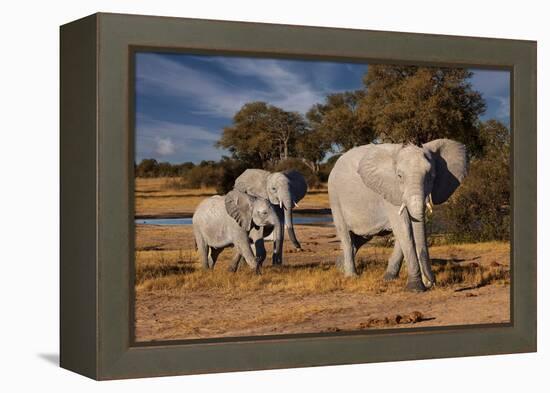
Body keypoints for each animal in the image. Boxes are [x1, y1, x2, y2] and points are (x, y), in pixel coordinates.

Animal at [330, 139, 468, 290]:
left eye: (431, 176)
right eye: (399, 176)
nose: (432, 282)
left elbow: (408, 230)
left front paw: (389, 278)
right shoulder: (390, 191)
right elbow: (404, 228)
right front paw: (415, 288)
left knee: (361, 238)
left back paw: (339, 267)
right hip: (335, 198)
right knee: (346, 236)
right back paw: (351, 276)